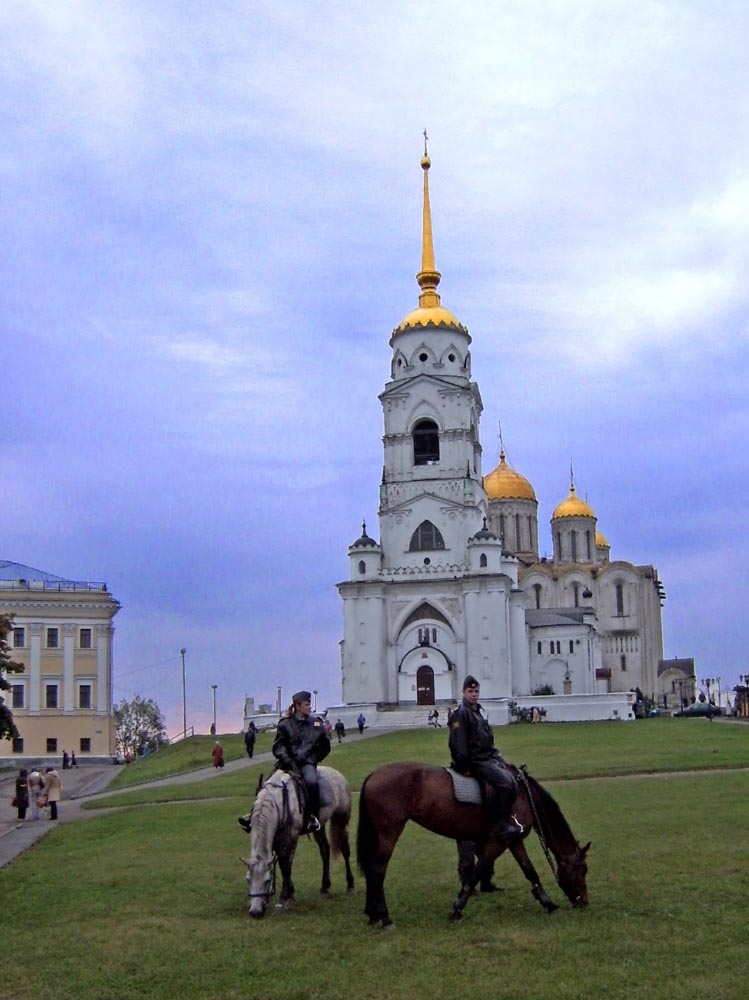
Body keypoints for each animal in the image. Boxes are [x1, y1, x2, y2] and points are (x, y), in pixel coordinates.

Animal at [241, 764, 356, 920]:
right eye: (248, 880)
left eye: (267, 881)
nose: (255, 912)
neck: (277, 801)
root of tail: (337, 774)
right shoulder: (277, 839)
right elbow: (284, 864)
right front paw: (291, 893)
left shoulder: (290, 837)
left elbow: (285, 866)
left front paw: (284, 899)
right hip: (319, 826)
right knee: (325, 851)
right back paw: (325, 887)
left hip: (342, 819)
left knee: (345, 850)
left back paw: (350, 885)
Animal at [356, 760, 592, 924]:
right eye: (582, 870)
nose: (584, 901)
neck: (524, 796)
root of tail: (373, 774)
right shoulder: (498, 841)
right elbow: (478, 870)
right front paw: (458, 908)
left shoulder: (513, 841)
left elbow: (530, 871)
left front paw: (548, 903)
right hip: (389, 832)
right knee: (377, 869)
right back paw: (384, 916)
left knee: (371, 869)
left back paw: (372, 913)